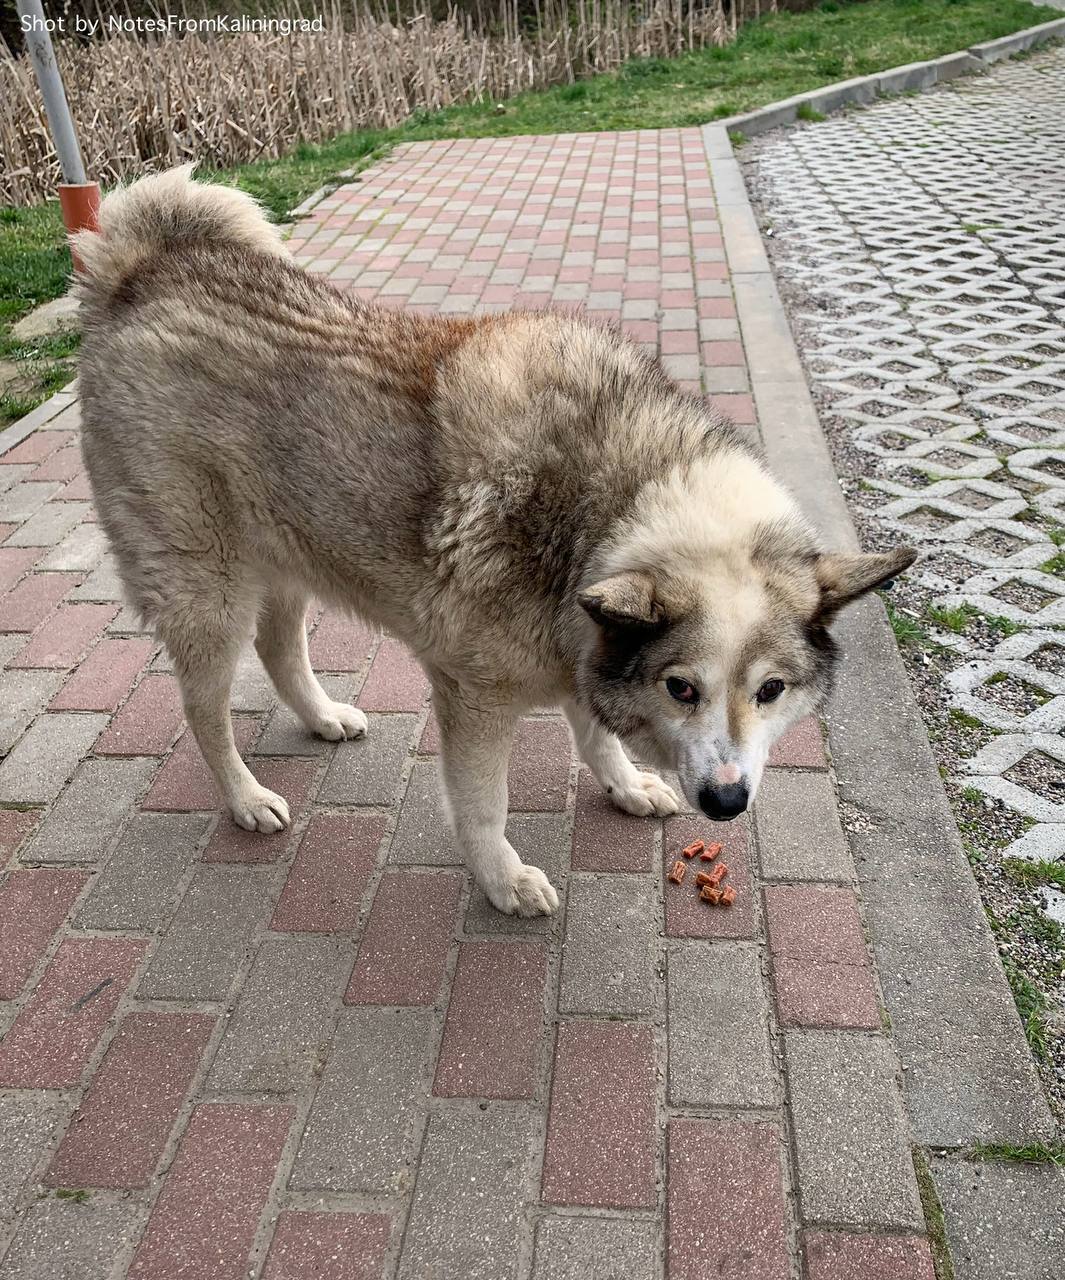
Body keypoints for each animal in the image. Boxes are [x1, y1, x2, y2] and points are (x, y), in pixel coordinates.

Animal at [72, 170, 916, 916]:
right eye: (680, 688)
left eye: (770, 691)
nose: (727, 801)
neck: (615, 494)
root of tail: (143, 270)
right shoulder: (473, 695)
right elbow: (484, 805)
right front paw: (502, 881)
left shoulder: (582, 637)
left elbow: (593, 732)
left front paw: (623, 784)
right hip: (209, 593)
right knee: (204, 710)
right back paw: (246, 797)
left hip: (289, 557)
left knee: (280, 647)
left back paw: (320, 717)